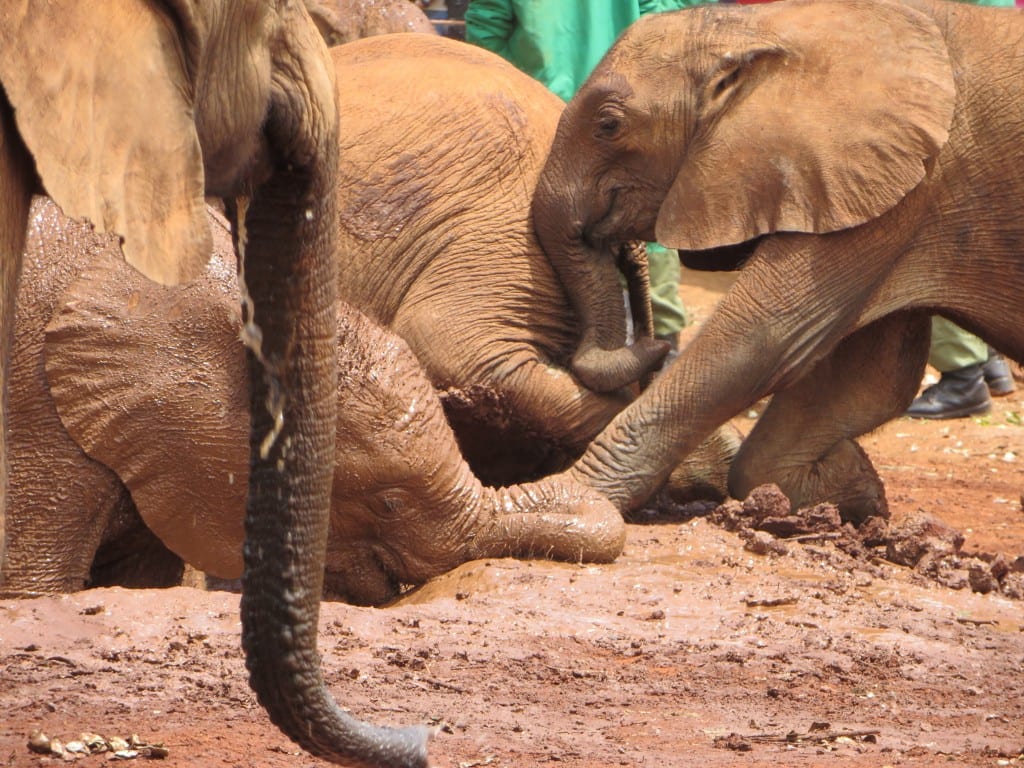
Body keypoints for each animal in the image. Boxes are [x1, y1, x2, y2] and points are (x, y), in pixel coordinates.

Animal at [532, 0, 1024, 526]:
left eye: (609, 125)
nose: (655, 345)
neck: (767, 27)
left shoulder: (900, 186)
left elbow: (760, 342)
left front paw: (559, 500)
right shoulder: (868, 185)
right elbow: (865, 377)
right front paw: (858, 491)